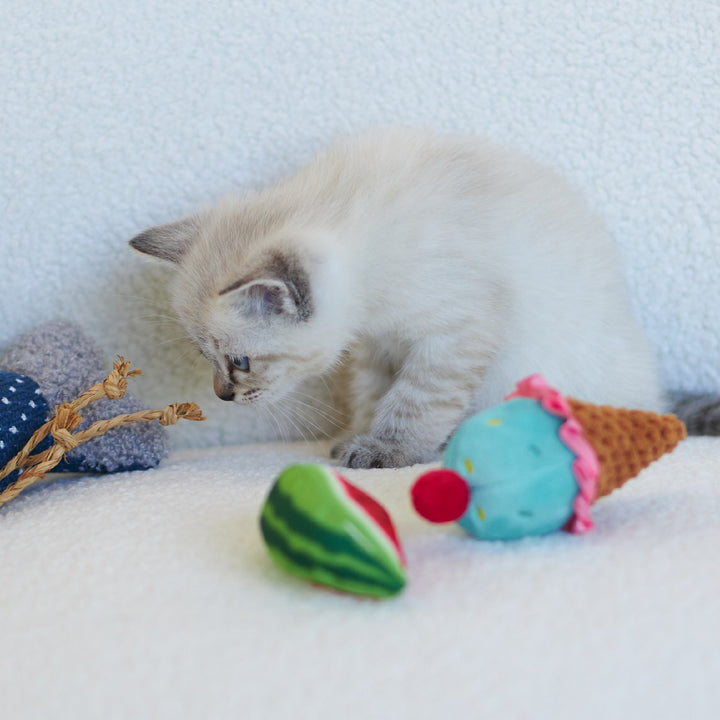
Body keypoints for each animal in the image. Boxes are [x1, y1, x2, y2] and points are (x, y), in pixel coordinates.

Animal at [129, 127, 664, 470]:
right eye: (205, 357)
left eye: (239, 361)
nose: (223, 394)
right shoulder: (379, 344)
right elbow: (373, 396)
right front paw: (357, 437)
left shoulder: (453, 334)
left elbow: (412, 402)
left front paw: (386, 450)